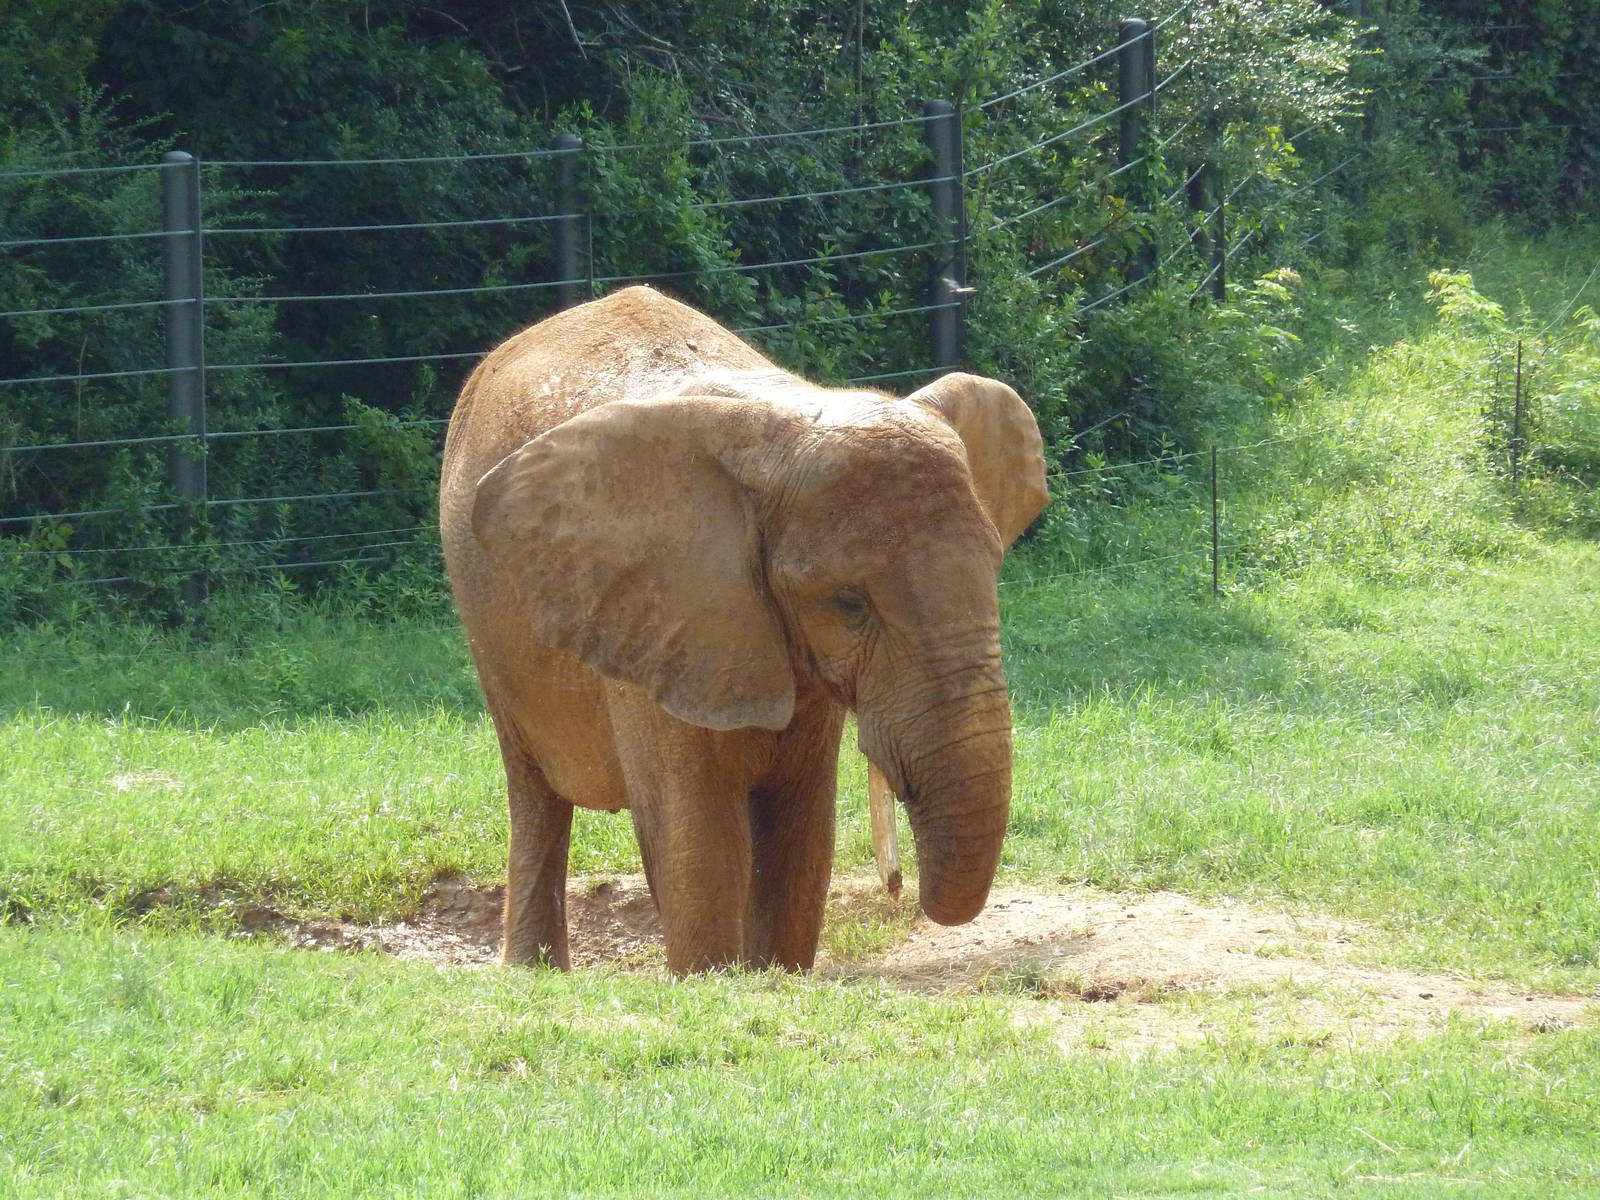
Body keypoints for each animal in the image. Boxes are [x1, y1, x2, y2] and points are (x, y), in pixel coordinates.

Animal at [438, 285, 1048, 974]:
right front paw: (708, 980)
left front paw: (770, 977)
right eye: (848, 604)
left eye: (994, 569)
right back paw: (532, 972)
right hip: (484, 615)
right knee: (535, 793)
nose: (900, 889)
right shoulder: (669, 607)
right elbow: (697, 840)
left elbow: (801, 829)